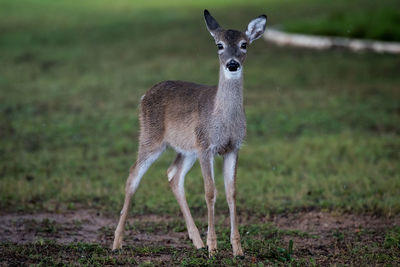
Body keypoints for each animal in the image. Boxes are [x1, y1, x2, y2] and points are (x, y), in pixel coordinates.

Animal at [112, 9, 268, 258]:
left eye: (244, 44)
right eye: (219, 45)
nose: (232, 64)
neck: (222, 118)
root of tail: (144, 95)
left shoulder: (233, 147)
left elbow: (231, 192)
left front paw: (237, 249)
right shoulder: (206, 146)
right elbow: (210, 191)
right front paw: (214, 248)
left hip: (187, 148)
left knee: (173, 174)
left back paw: (197, 241)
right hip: (151, 137)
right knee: (133, 175)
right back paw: (117, 243)